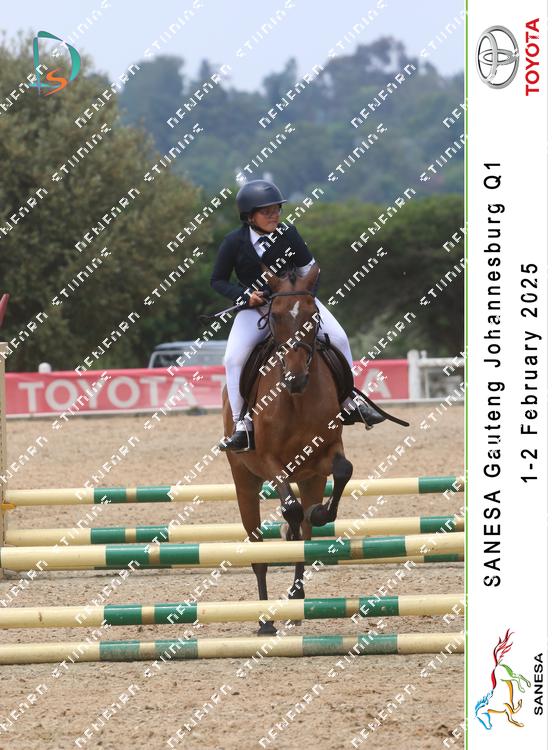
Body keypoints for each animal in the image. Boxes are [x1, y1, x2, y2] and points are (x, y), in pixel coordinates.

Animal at [222, 263, 353, 635]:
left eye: (313, 315)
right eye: (276, 316)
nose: (295, 378)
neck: (295, 399)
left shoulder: (327, 452)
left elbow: (343, 470)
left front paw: (321, 513)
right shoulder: (268, 461)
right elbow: (290, 508)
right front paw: (289, 523)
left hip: (309, 478)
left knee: (303, 535)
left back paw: (296, 599)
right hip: (244, 482)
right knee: (258, 550)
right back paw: (265, 620)